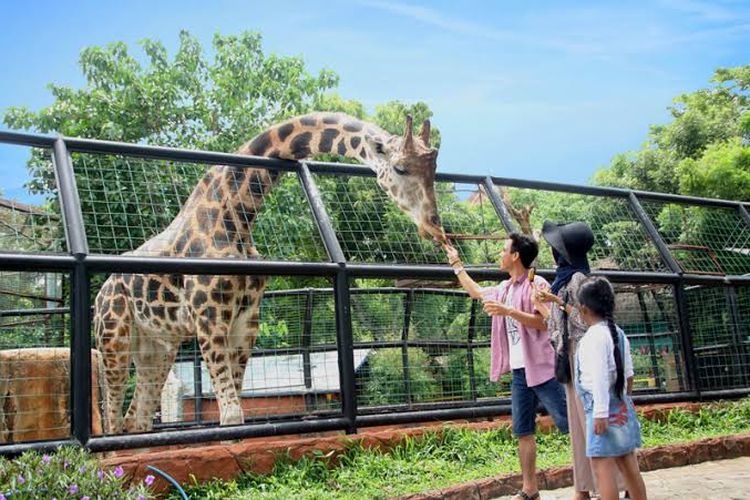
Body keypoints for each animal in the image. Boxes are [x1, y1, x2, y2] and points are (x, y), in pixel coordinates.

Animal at [93, 111, 446, 432]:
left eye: (434, 170)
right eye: (400, 168)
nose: (433, 224)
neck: (235, 215)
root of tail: (100, 295)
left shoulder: (246, 319)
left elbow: (235, 405)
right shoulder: (208, 316)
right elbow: (231, 416)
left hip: (157, 346)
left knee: (136, 418)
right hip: (113, 337)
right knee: (112, 415)